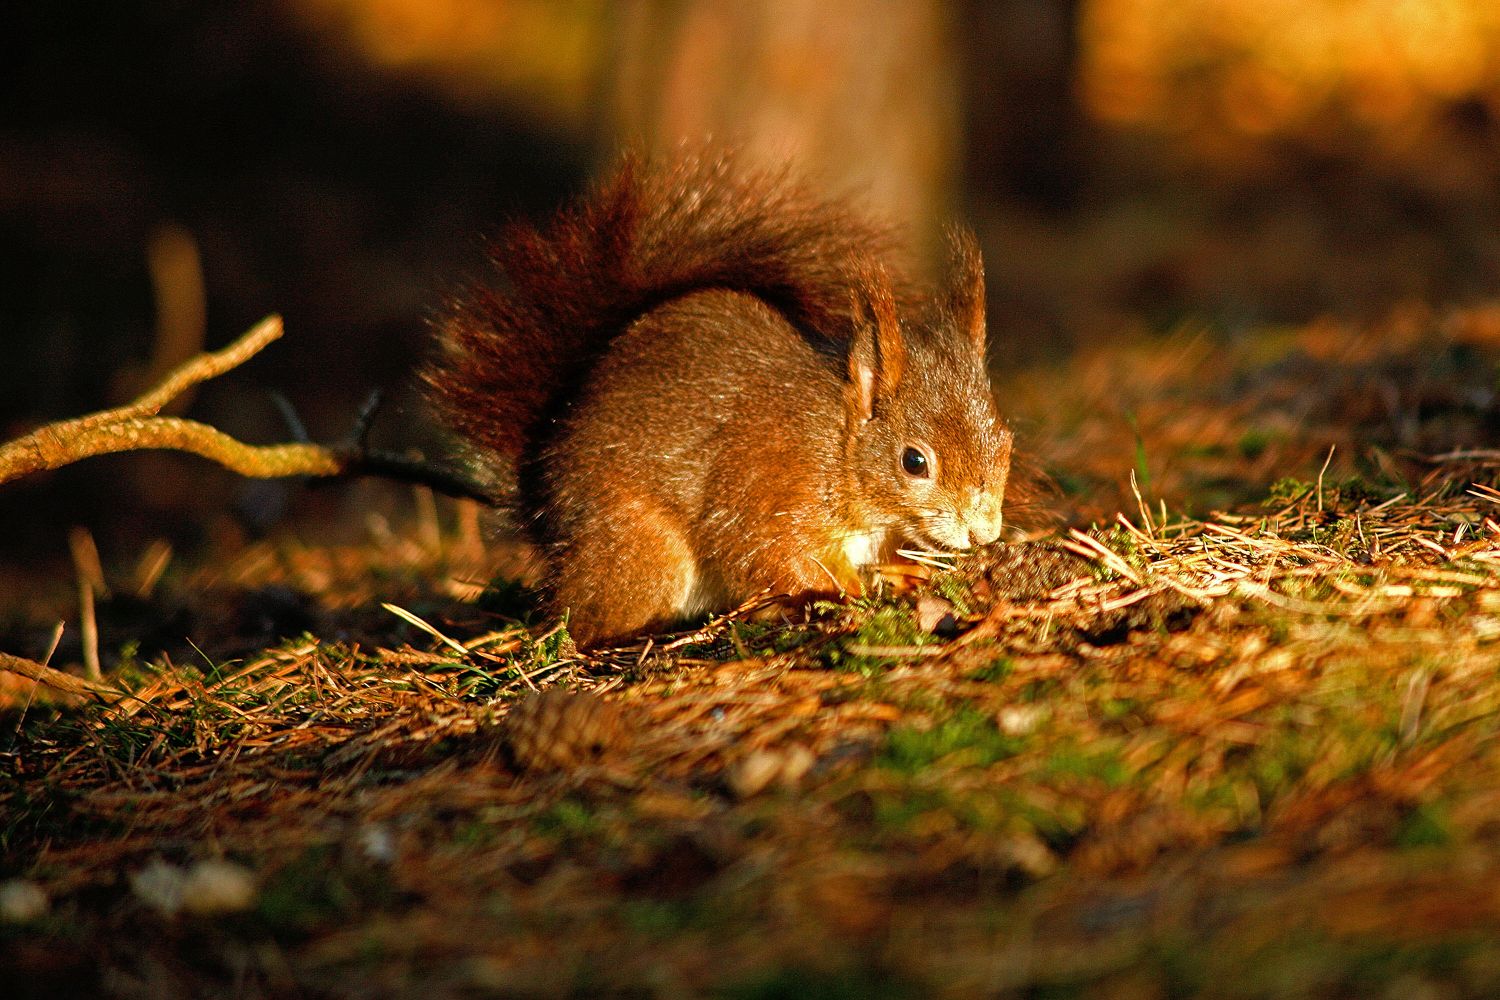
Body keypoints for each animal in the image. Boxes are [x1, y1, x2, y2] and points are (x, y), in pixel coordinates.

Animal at [423, 151, 1014, 644]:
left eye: (1006, 440)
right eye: (914, 462)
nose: (984, 532)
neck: (837, 451)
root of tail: (543, 504)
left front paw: (909, 573)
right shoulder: (770, 492)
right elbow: (774, 557)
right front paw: (849, 592)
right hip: (640, 548)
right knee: (585, 621)